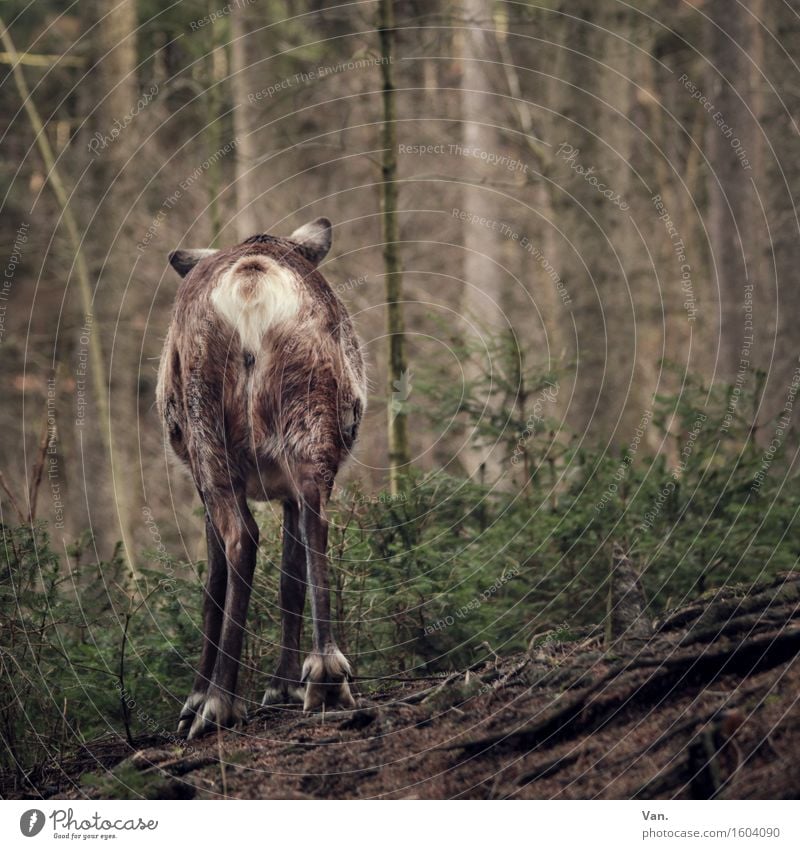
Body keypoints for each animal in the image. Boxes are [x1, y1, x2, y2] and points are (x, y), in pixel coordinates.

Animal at [155, 217, 366, 736]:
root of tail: (253, 278)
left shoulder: (197, 479)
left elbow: (213, 585)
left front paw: (195, 696)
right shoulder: (287, 488)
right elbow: (292, 576)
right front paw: (283, 685)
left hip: (207, 434)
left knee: (242, 539)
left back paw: (219, 703)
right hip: (309, 422)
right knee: (317, 526)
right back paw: (326, 674)